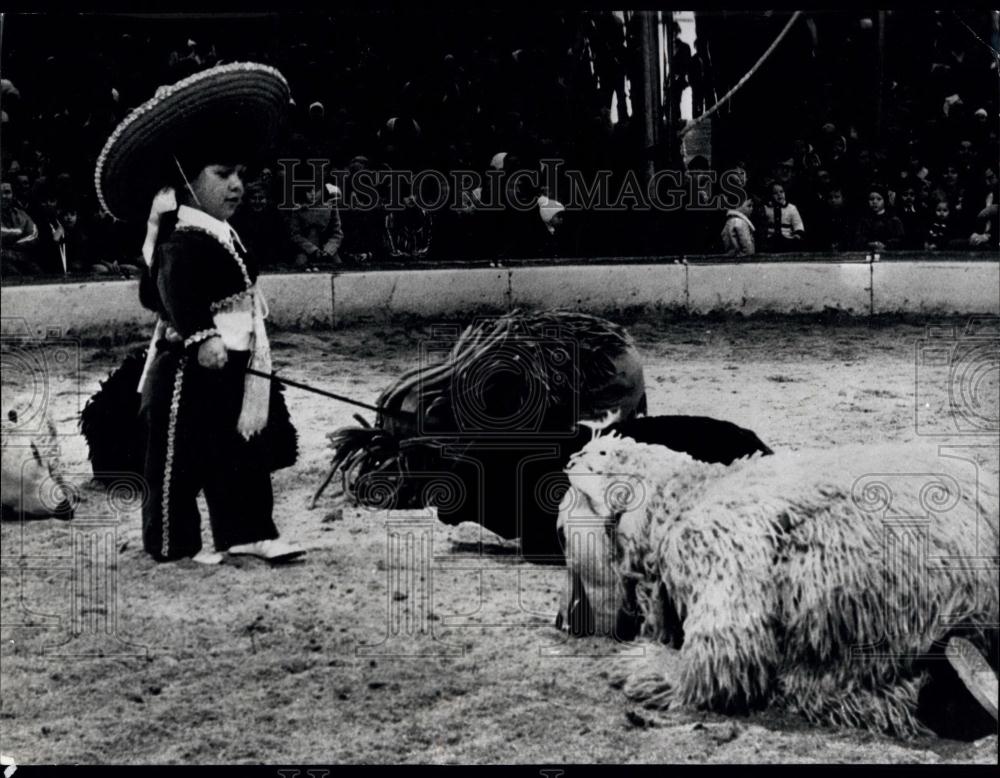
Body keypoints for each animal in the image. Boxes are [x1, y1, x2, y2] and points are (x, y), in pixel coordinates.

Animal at [560, 434, 996, 736]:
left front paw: (648, 667)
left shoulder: (714, 545)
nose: (572, 458)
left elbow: (725, 655)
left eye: (602, 456)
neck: (686, 495)